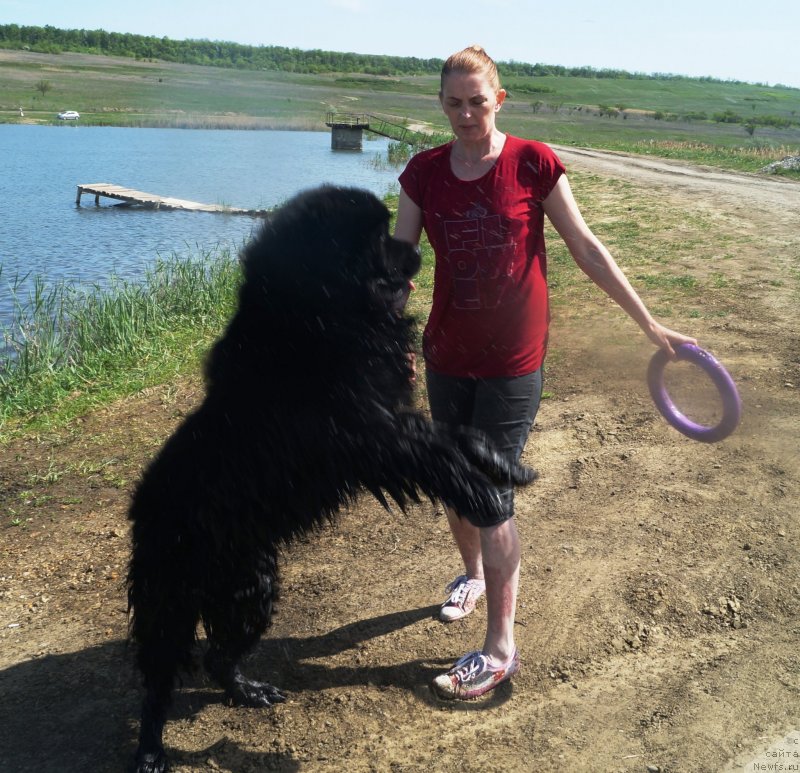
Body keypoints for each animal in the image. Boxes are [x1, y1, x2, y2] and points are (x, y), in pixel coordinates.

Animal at [126, 184, 536, 768]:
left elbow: (454, 437)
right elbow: (436, 454)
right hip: (173, 597)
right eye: (380, 238)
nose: (416, 249)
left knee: (219, 657)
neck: (317, 315)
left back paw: (250, 692)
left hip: (250, 586)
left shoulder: (387, 414)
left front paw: (505, 464)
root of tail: (141, 512)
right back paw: (150, 750)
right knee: (159, 680)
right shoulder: (366, 435)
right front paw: (483, 496)